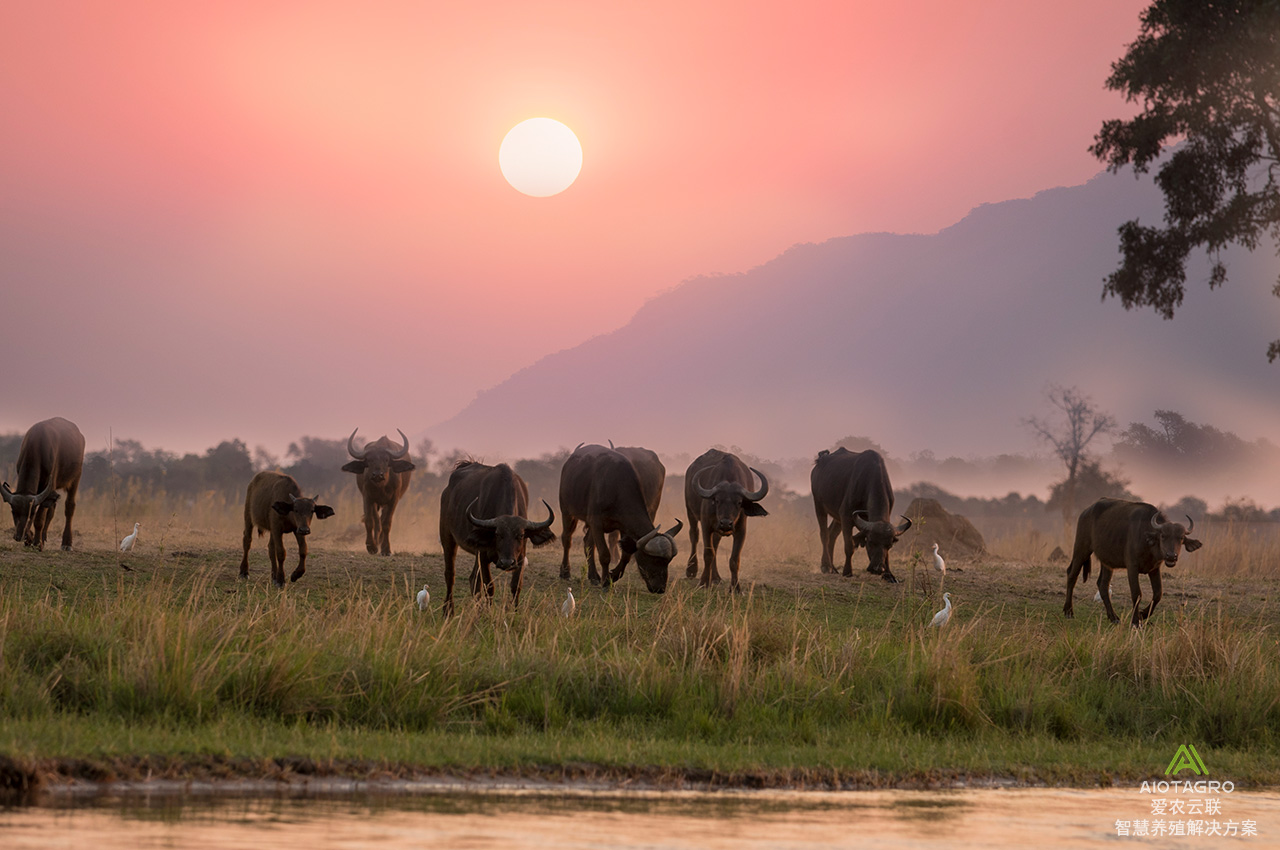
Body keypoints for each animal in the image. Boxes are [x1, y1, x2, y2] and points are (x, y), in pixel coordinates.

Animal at [1, 417, 85, 550]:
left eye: (31, 513)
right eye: (13, 512)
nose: (19, 536)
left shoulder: (50, 486)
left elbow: (39, 519)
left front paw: (37, 542)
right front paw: (30, 539)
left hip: (76, 477)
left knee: (69, 506)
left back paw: (66, 543)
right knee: (52, 509)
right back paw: (44, 537)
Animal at [340, 425, 414, 558]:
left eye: (386, 459)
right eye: (369, 460)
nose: (377, 475)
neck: (381, 486)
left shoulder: (394, 500)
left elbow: (387, 523)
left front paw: (386, 549)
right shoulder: (367, 498)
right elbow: (370, 521)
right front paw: (371, 546)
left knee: (382, 520)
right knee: (377, 521)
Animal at [437, 460, 552, 614]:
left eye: (521, 535)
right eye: (498, 534)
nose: (507, 563)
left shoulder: (520, 557)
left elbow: (516, 586)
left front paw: (514, 611)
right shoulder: (483, 555)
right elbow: (489, 587)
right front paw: (488, 612)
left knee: (473, 580)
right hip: (447, 536)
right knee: (450, 575)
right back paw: (448, 610)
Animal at [558, 445, 686, 591]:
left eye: (668, 562)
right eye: (654, 559)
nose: (660, 588)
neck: (617, 488)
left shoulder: (623, 526)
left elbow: (626, 556)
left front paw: (613, 575)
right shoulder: (596, 523)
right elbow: (605, 555)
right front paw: (606, 581)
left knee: (588, 542)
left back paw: (593, 576)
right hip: (567, 511)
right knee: (567, 539)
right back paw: (565, 572)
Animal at [808, 448, 911, 581]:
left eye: (889, 545)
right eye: (870, 542)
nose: (878, 569)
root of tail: (820, 461)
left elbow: (887, 555)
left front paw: (889, 575)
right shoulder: (846, 517)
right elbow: (849, 546)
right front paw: (847, 571)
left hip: (837, 517)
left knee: (832, 534)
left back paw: (833, 568)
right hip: (819, 505)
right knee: (824, 534)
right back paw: (826, 566)